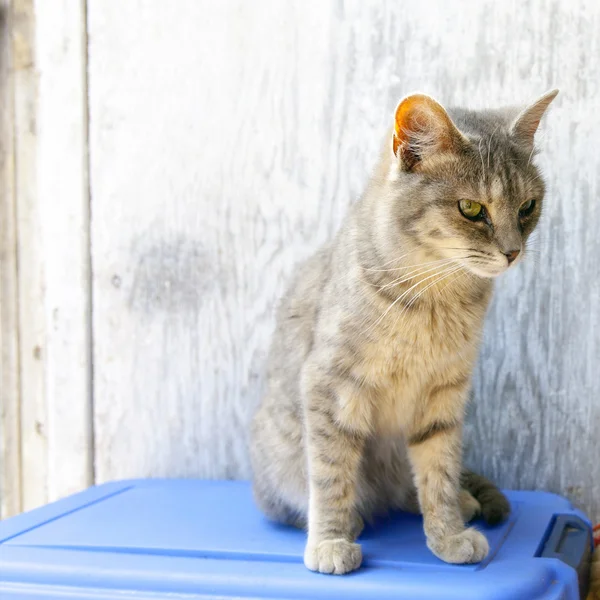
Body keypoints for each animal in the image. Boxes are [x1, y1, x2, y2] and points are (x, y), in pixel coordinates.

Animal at [248, 88, 556, 572]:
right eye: (471, 209)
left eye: (528, 207)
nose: (512, 252)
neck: (436, 298)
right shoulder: (329, 385)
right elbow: (332, 473)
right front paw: (330, 541)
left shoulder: (443, 396)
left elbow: (438, 471)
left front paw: (447, 534)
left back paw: (461, 501)